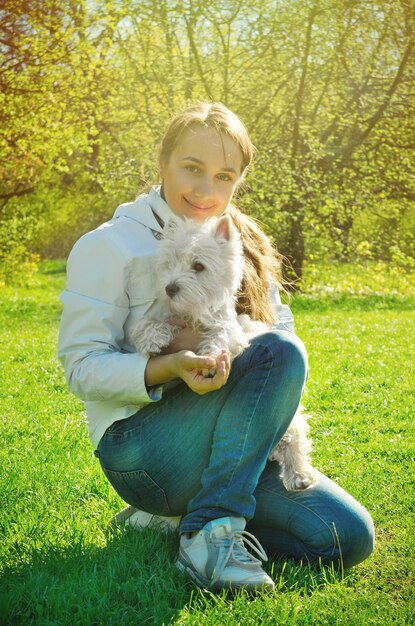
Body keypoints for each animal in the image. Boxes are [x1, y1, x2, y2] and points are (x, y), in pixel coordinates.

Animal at [131, 217, 318, 490]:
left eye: (198, 266)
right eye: (169, 263)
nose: (169, 288)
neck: (194, 311)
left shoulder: (232, 328)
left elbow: (221, 335)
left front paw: (210, 353)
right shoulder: (171, 315)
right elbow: (152, 322)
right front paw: (152, 337)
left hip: (292, 424)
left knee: (295, 438)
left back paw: (300, 475)